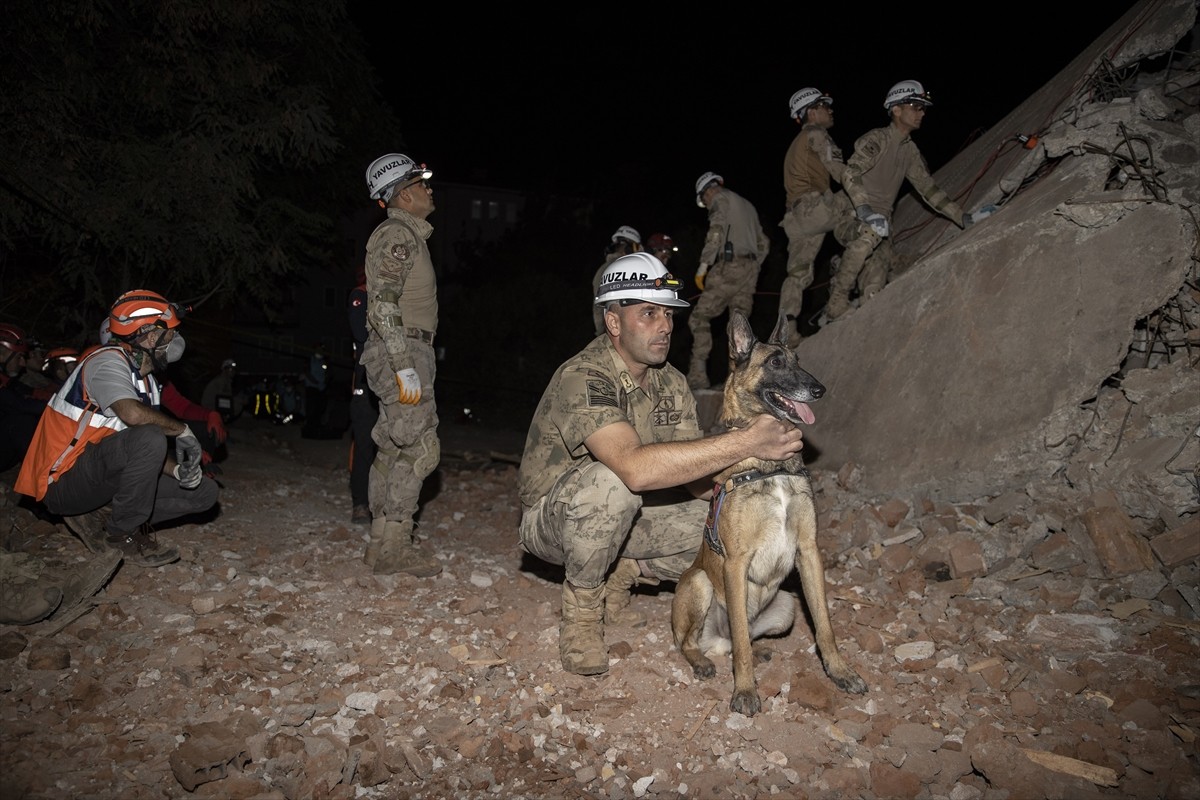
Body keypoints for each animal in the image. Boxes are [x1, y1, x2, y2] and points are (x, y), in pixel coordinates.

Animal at [676, 309, 864, 714]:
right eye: (775, 363)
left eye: (799, 360)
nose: (820, 390)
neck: (770, 467)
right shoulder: (736, 562)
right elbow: (741, 648)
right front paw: (745, 690)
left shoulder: (808, 552)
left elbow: (825, 625)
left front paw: (840, 671)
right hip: (700, 583)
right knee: (697, 642)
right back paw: (702, 661)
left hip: (786, 606)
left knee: (740, 640)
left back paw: (758, 650)